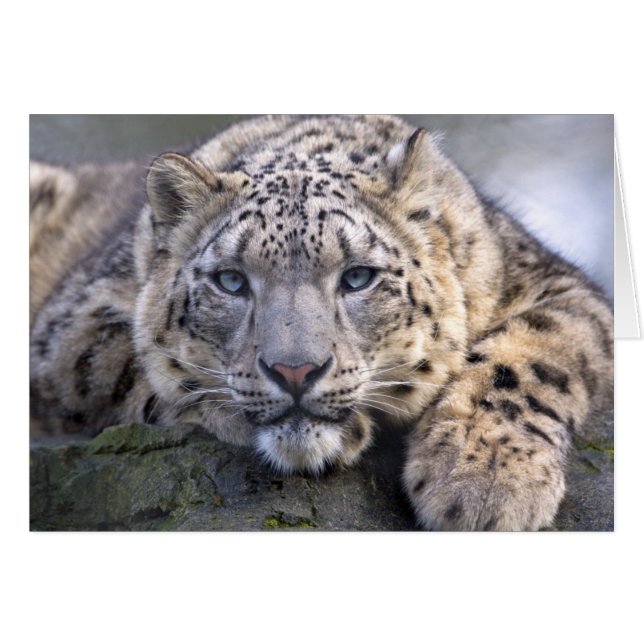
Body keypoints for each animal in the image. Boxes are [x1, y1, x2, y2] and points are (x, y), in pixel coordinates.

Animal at [30, 115, 614, 531]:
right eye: (231, 281)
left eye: (357, 277)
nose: (295, 371)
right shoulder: (75, 324)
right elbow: (147, 370)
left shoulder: (558, 286)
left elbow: (532, 358)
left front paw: (483, 480)